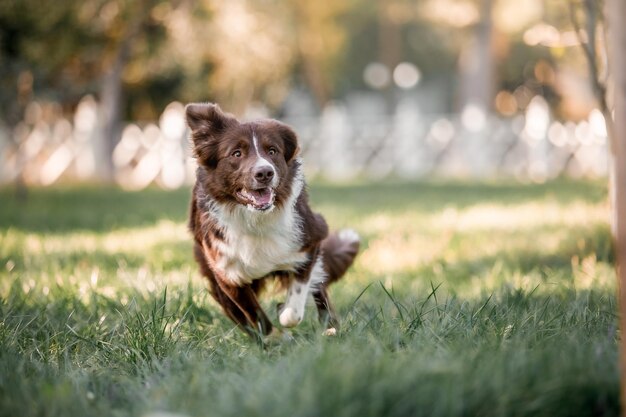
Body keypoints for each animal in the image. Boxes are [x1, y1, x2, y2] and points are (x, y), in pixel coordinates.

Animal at [185, 102, 358, 336]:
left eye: (272, 151)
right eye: (236, 153)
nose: (264, 173)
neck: (255, 218)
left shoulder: (310, 239)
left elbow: (296, 302)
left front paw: (284, 311)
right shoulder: (227, 272)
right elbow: (255, 315)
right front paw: (275, 338)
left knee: (319, 288)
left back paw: (329, 327)